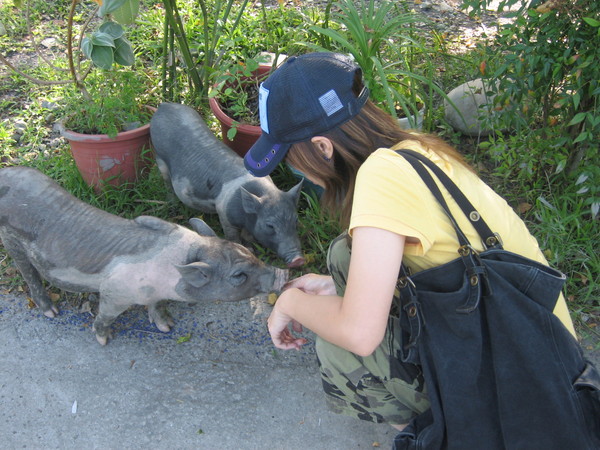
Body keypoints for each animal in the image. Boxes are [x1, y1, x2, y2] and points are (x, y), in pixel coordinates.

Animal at [0, 167, 288, 346]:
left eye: (249, 252)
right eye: (238, 275)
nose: (282, 273)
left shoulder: (154, 293)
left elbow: (156, 307)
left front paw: (167, 327)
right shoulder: (114, 292)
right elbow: (105, 315)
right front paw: (103, 340)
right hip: (11, 241)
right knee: (28, 273)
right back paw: (51, 312)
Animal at [149, 103, 308, 268]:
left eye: (296, 220)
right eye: (270, 225)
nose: (298, 260)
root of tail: (163, 106)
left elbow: (248, 235)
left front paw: (251, 246)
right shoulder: (223, 213)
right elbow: (233, 236)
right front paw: (245, 248)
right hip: (159, 155)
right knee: (167, 181)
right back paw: (172, 203)